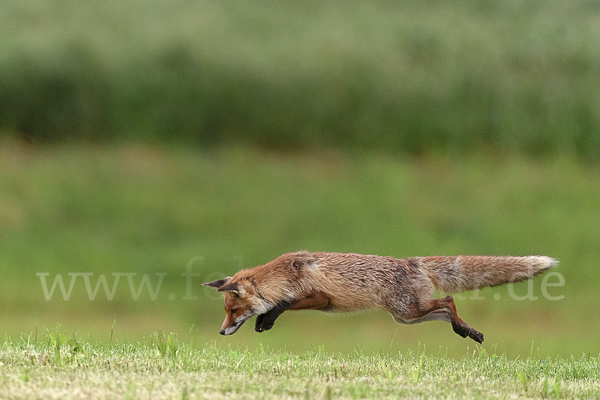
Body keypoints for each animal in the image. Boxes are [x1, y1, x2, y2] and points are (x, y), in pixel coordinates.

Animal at [202, 252, 556, 342]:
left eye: (233, 310)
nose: (220, 331)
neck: (284, 275)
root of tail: (411, 261)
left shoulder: (321, 299)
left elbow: (286, 304)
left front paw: (267, 320)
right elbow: (281, 305)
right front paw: (265, 320)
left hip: (409, 310)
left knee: (449, 300)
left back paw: (464, 328)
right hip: (407, 316)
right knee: (445, 310)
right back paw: (468, 330)